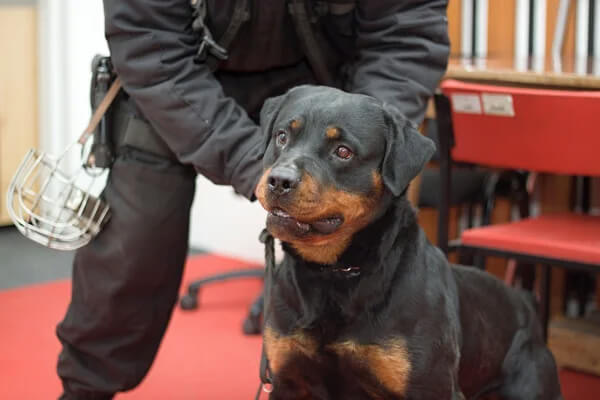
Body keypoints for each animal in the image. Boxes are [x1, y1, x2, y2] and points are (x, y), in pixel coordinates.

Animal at [254, 86, 564, 398]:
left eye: (343, 151)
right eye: (282, 136)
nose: (280, 180)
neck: (333, 273)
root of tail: (525, 304)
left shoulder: (432, 387)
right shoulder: (288, 381)